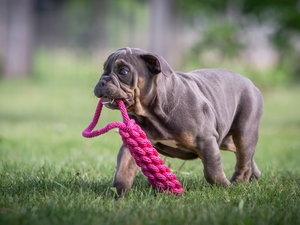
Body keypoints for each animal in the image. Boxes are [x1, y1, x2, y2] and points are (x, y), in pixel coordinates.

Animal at [93, 47, 262, 195]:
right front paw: (117, 194)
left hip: (244, 133)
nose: (102, 80)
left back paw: (238, 183)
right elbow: (123, 169)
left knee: (243, 159)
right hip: (225, 139)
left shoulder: (206, 140)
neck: (153, 112)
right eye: (104, 70)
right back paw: (254, 176)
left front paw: (223, 187)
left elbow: (212, 170)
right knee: (245, 155)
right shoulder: (133, 144)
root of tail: (252, 84)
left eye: (123, 72)